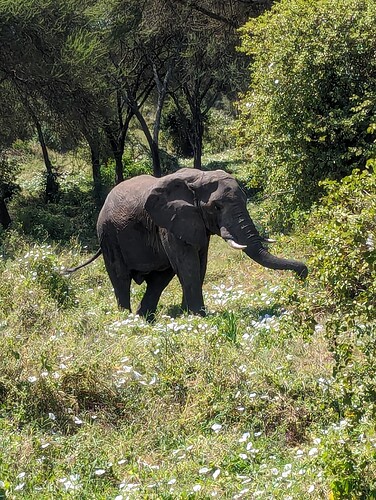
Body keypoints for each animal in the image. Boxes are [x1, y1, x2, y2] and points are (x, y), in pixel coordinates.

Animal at [67, 167, 308, 316]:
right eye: (216, 207)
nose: (302, 276)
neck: (198, 178)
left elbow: (200, 264)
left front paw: (190, 315)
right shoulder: (169, 222)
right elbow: (188, 265)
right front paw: (199, 317)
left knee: (159, 278)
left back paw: (144, 318)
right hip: (108, 235)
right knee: (121, 278)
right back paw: (127, 320)